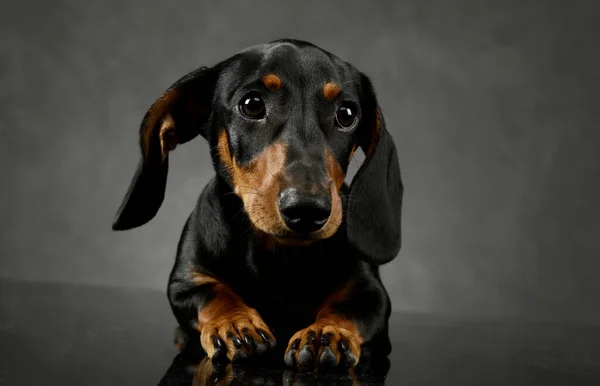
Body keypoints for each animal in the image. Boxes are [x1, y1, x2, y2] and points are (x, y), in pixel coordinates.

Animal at [112, 39, 404, 370]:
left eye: (347, 113)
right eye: (252, 105)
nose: (307, 209)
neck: (278, 254)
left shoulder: (371, 293)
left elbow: (346, 307)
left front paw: (326, 332)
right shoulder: (185, 283)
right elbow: (213, 293)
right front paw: (236, 324)